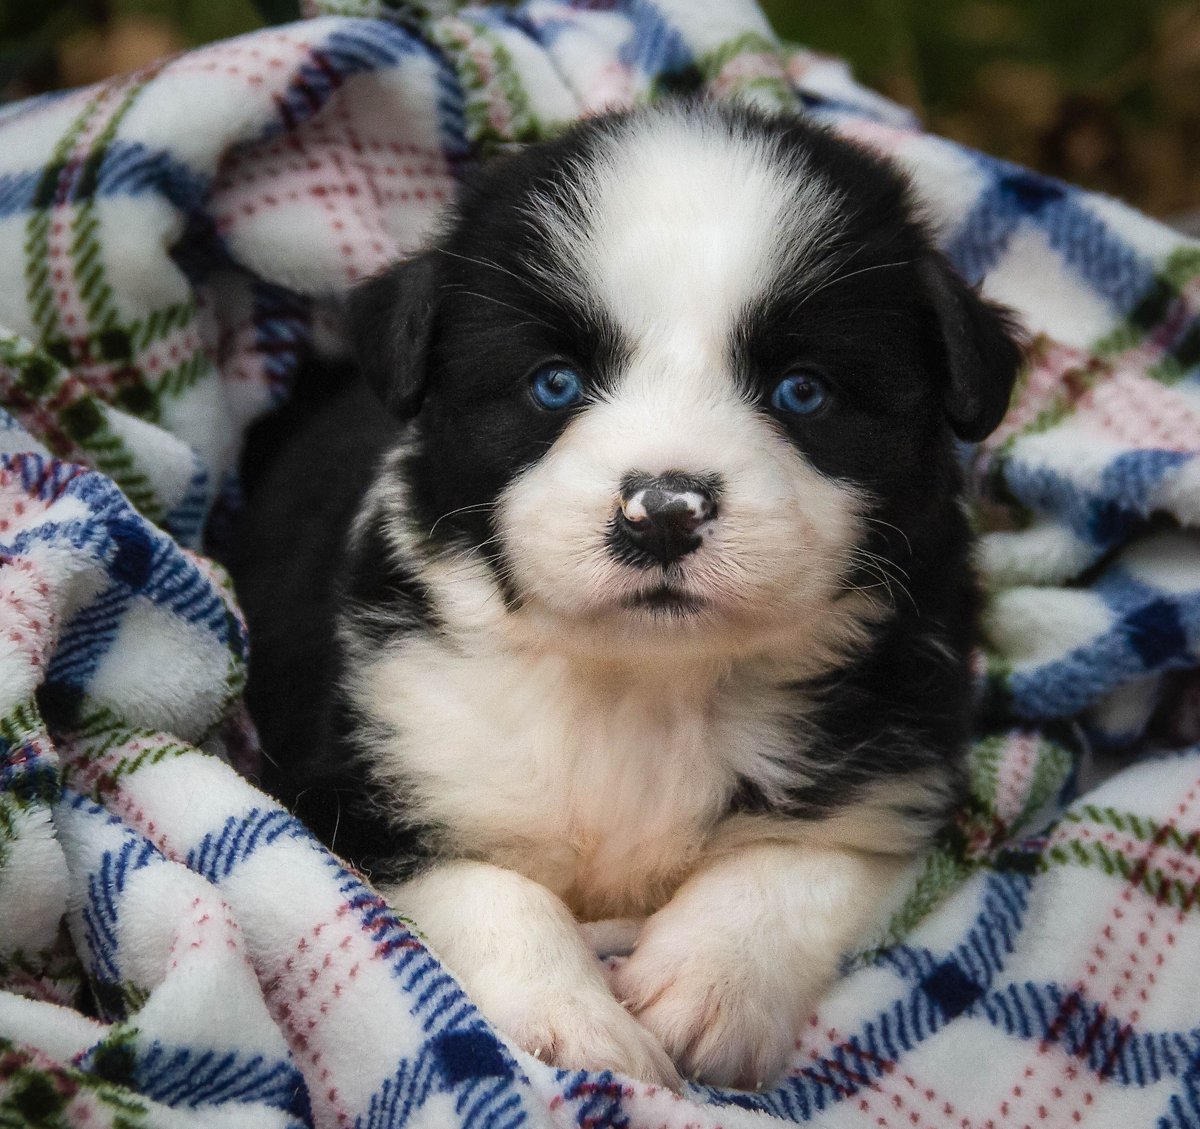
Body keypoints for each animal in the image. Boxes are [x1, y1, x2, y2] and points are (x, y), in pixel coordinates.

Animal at [231, 101, 1022, 1089]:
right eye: (554, 382)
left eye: (803, 390)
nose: (664, 512)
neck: (642, 688)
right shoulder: (358, 782)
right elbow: (487, 888)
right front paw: (568, 1022)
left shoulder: (891, 773)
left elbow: (791, 863)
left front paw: (707, 989)